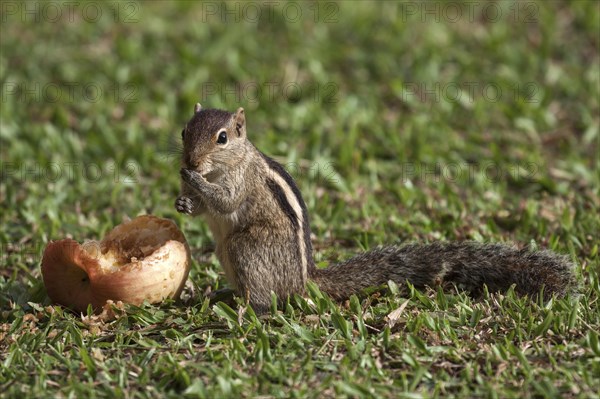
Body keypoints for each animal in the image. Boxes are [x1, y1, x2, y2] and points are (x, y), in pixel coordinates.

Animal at [175, 104, 576, 316]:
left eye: (222, 138)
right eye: (183, 131)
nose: (189, 161)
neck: (224, 165)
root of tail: (304, 280)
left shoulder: (241, 182)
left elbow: (226, 201)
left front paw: (193, 182)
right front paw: (183, 200)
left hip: (246, 248)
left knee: (267, 299)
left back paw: (243, 308)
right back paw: (224, 295)